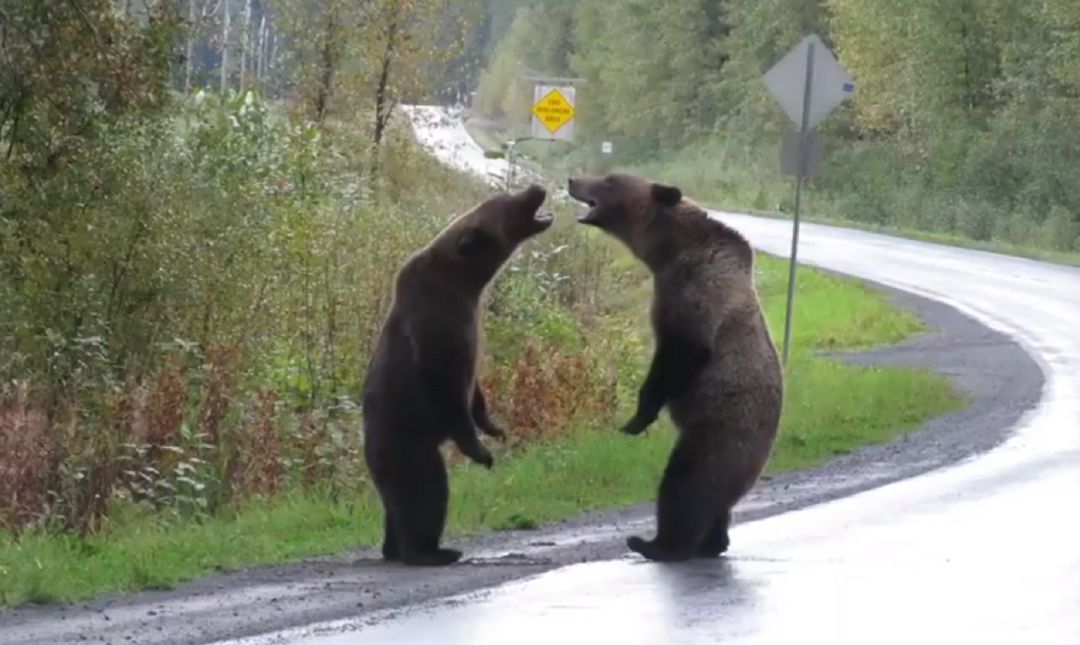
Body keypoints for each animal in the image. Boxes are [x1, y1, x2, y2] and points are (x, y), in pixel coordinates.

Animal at [362, 183, 552, 566]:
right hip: (406, 441)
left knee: (395, 506)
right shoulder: (438, 328)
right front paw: (482, 451)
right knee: (426, 491)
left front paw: (494, 426)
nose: (536, 187)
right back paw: (431, 551)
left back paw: (395, 548)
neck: (465, 282)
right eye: (508, 203)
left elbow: (474, 388)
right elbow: (449, 388)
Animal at [565, 170, 786, 557]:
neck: (668, 251)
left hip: (719, 434)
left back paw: (654, 543)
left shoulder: (697, 291)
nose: (573, 179)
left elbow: (681, 352)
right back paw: (711, 542)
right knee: (715, 504)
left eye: (610, 180)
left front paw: (636, 418)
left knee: (685, 485)